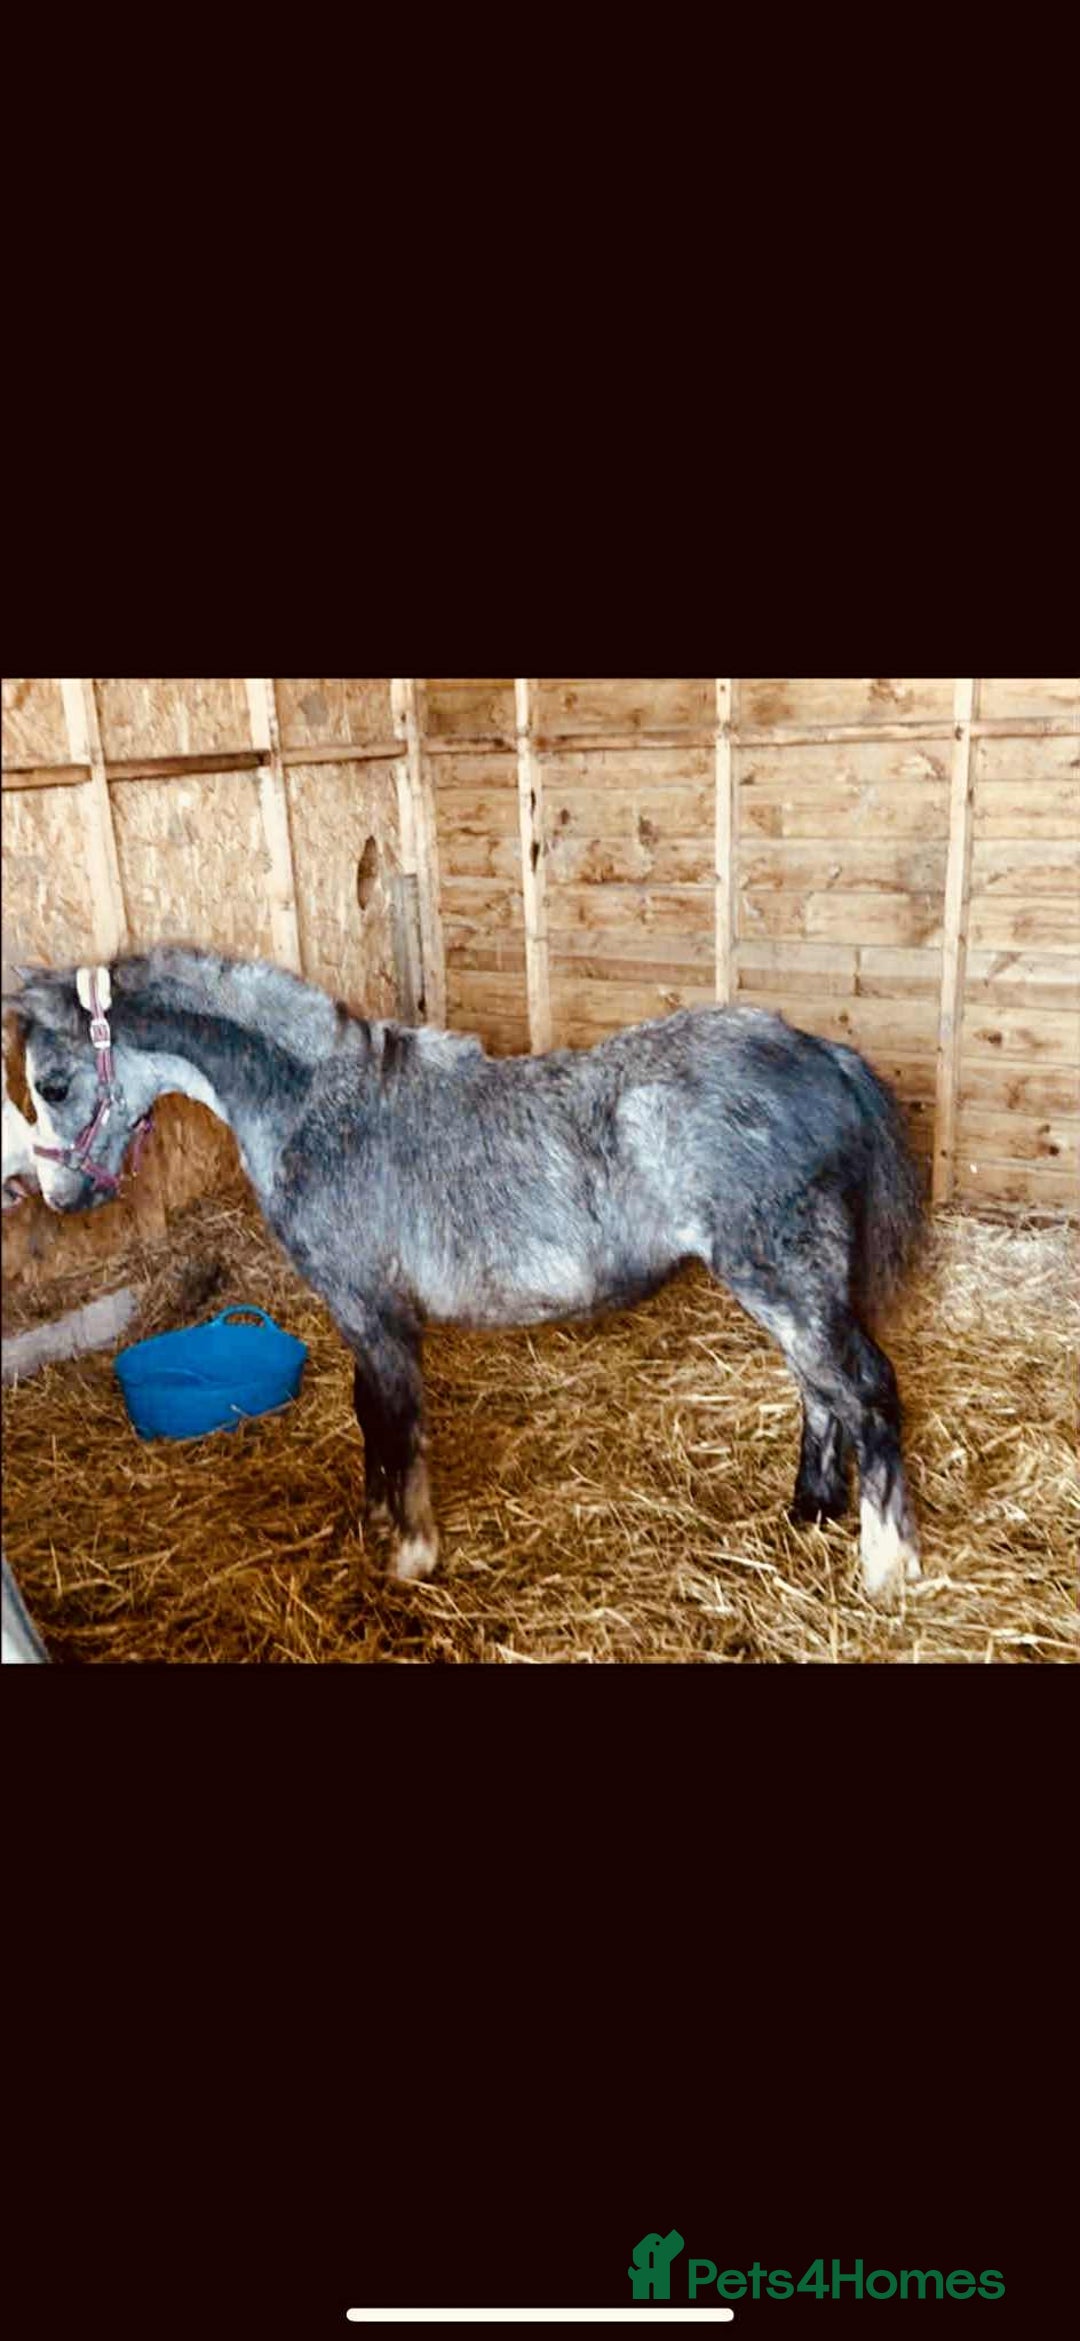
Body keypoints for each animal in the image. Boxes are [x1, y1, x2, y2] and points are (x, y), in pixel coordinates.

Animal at [5, 947, 925, 1600]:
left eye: (52, 1082)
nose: (56, 1194)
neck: (318, 1107)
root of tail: (820, 1053)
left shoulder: (372, 1309)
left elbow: (397, 1421)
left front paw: (411, 1553)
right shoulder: (363, 1314)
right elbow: (369, 1416)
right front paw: (378, 1520)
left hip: (783, 1273)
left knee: (864, 1389)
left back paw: (888, 1566)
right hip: (791, 1283)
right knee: (820, 1390)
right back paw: (810, 1510)